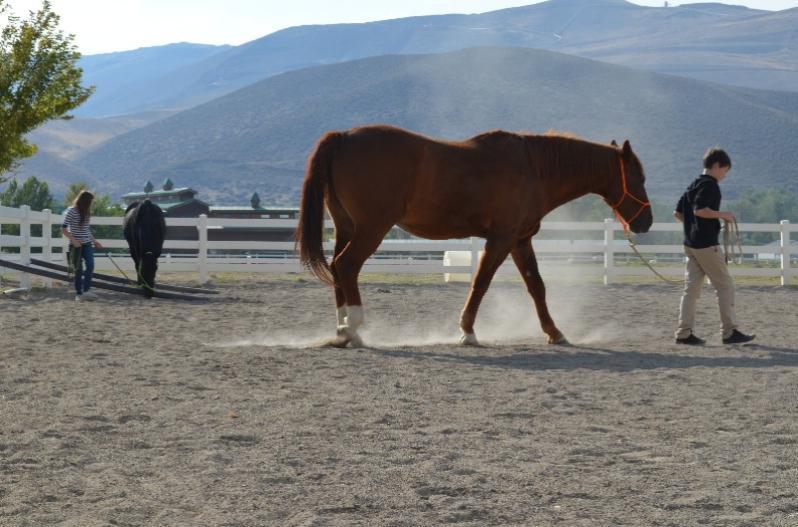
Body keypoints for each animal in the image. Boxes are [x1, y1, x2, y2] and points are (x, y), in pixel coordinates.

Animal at [296, 125, 653, 347]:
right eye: (638, 177)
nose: (646, 222)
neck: (533, 166)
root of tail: (343, 138)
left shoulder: (520, 240)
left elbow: (536, 286)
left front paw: (555, 332)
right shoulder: (501, 239)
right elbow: (480, 282)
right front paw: (467, 331)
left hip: (346, 228)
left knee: (338, 269)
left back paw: (344, 329)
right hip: (371, 229)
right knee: (347, 266)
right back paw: (353, 327)